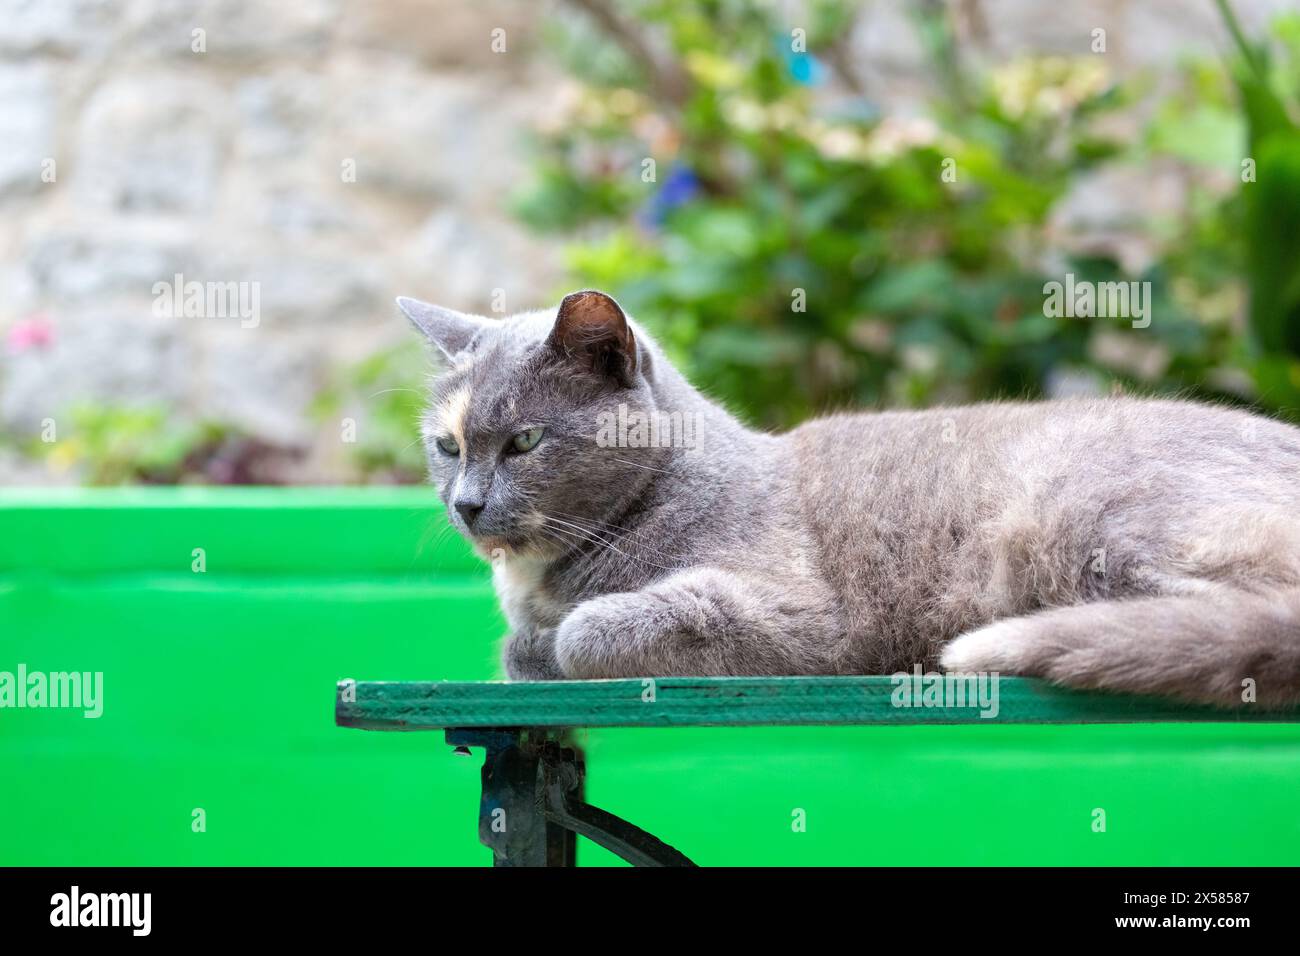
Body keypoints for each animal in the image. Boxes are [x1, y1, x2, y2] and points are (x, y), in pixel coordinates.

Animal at [397, 291, 1300, 712]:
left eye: (524, 441)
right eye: (447, 446)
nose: (466, 504)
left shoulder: (798, 617)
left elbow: (581, 635)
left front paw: (553, 643)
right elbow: (523, 645)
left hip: (1081, 522)